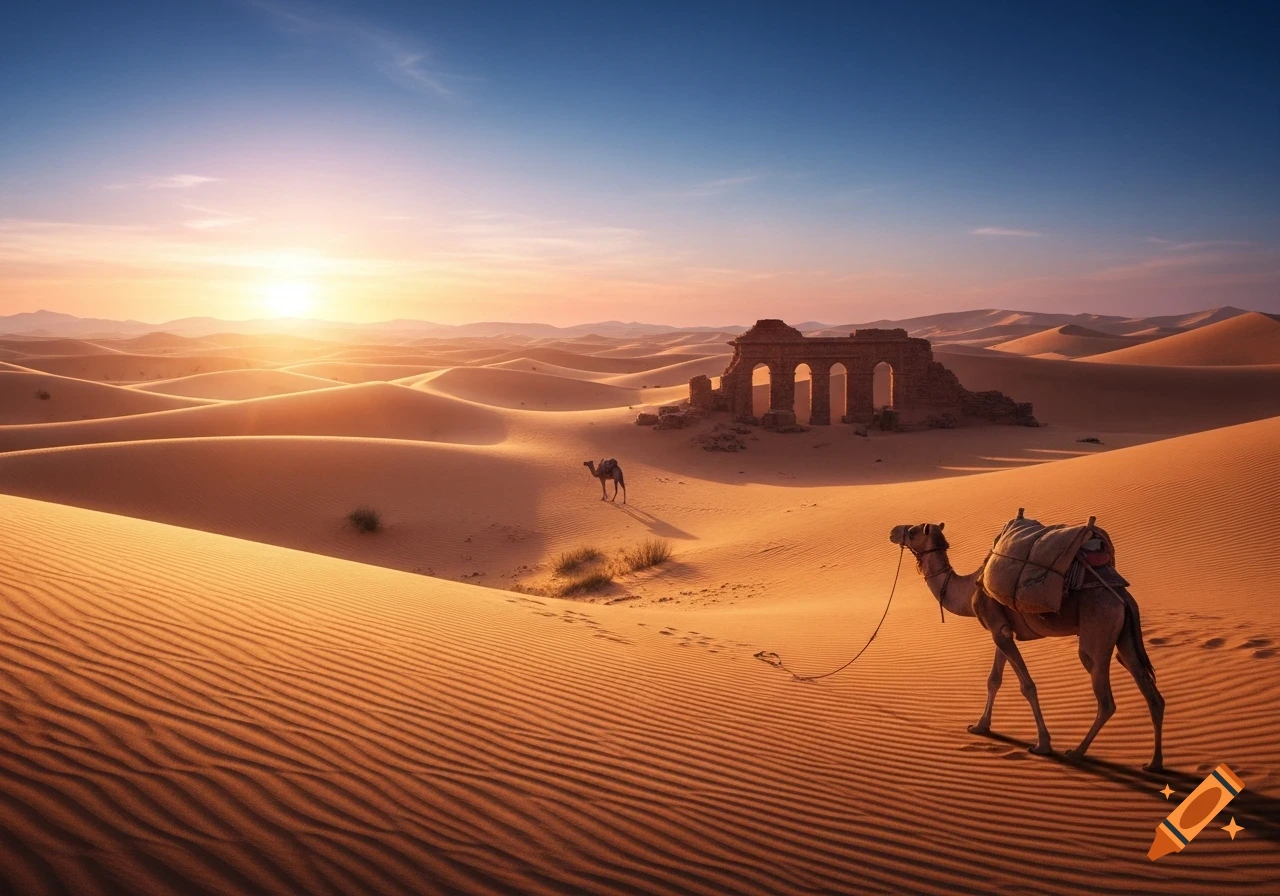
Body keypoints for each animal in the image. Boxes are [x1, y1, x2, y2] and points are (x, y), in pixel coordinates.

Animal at [888, 521, 1164, 771]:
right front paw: (980, 726)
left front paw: (1042, 744)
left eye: (912, 531)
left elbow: (1027, 686)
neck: (969, 590)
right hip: (1125, 637)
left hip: (1099, 628)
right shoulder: (1001, 631)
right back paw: (1154, 763)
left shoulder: (998, 629)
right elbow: (994, 680)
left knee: (1104, 695)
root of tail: (1123, 597)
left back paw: (1077, 751)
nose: (893, 531)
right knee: (1149, 690)